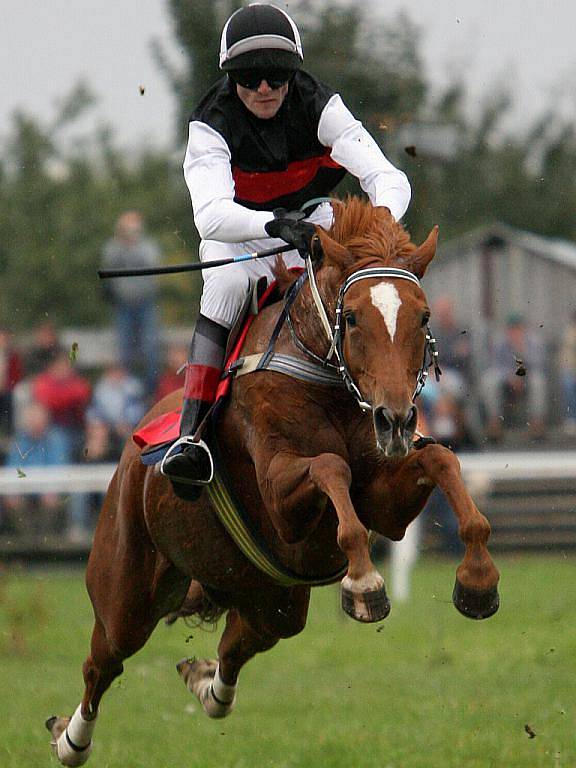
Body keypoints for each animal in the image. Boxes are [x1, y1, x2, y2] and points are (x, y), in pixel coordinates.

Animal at [47, 201, 498, 764]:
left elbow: (439, 460)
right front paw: (364, 583)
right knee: (102, 662)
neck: (324, 376)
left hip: (270, 597)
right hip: (125, 591)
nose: (395, 420)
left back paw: (206, 684)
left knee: (236, 643)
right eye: (352, 318)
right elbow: (330, 466)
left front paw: (478, 578)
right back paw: (70, 740)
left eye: (424, 317)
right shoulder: (284, 502)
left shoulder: (385, 500)